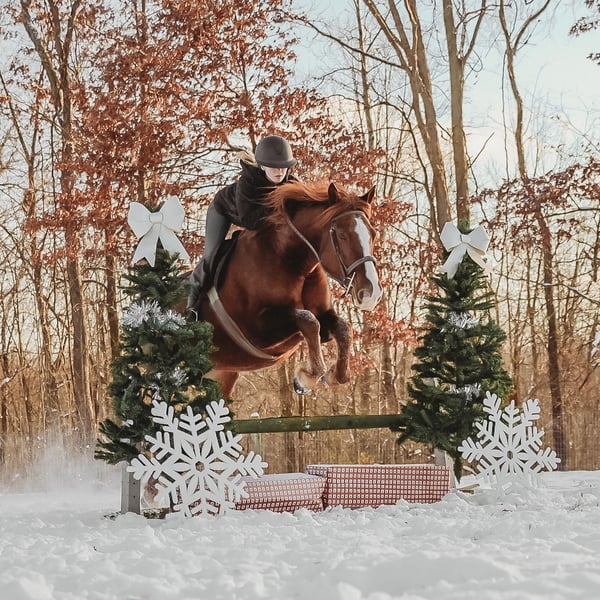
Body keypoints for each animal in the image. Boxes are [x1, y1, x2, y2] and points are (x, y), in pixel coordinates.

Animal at [189, 180, 383, 397]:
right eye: (342, 235)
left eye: (373, 234)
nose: (371, 293)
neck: (295, 264)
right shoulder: (256, 330)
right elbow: (308, 320)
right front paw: (308, 377)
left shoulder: (323, 314)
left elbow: (342, 329)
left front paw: (333, 375)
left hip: (223, 373)